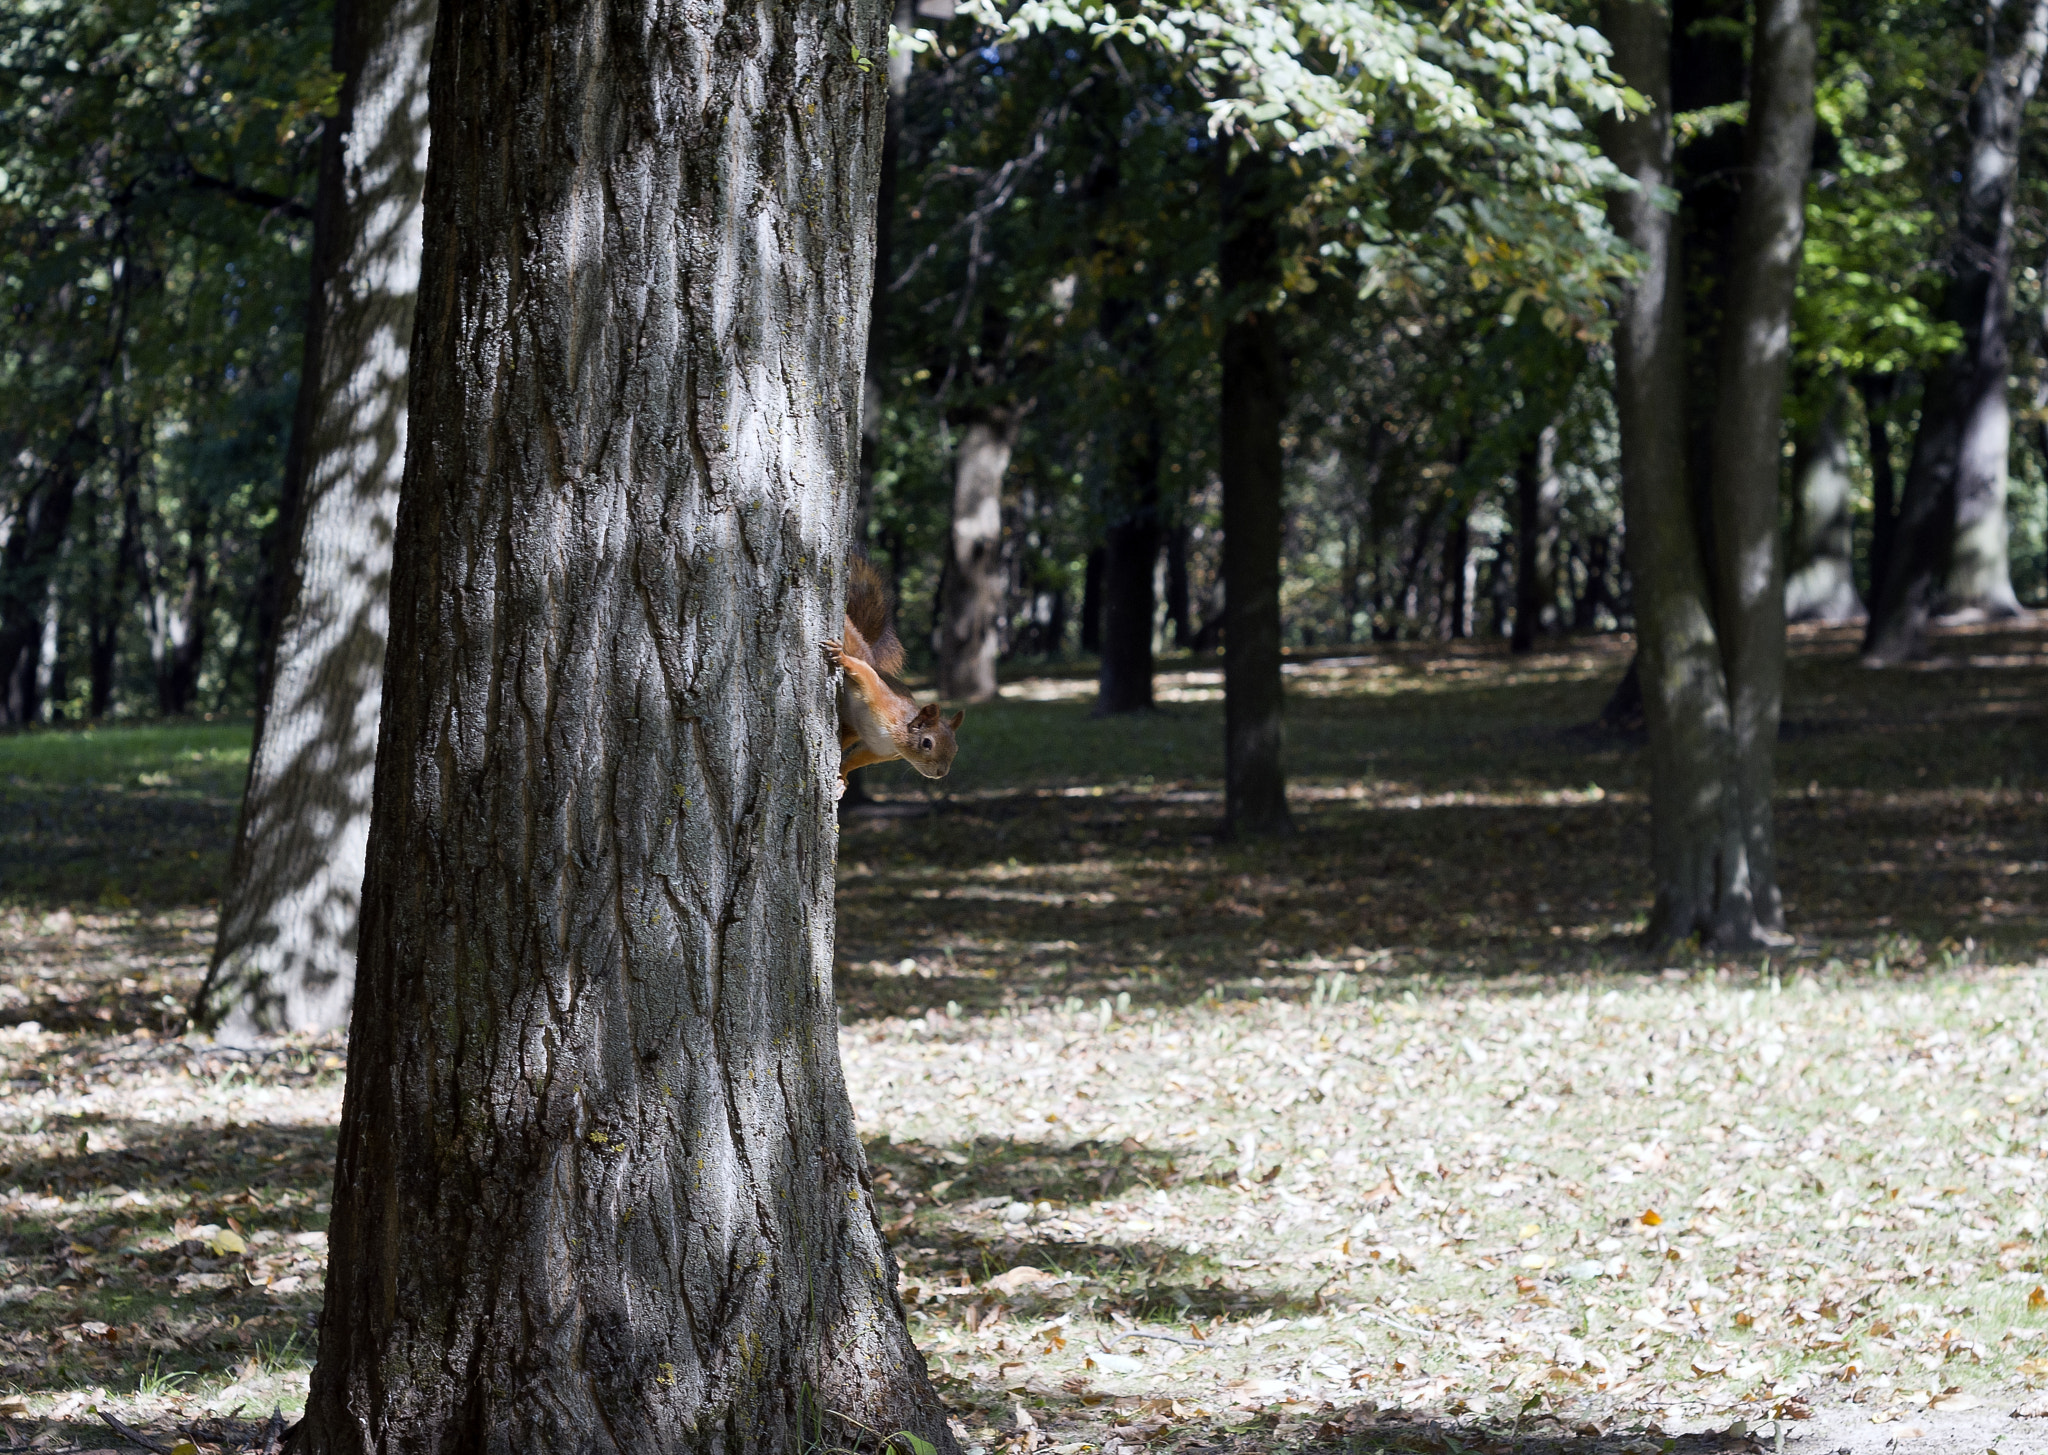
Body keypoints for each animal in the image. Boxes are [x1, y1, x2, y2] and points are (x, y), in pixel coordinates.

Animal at [819, 557, 962, 786]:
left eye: (955, 748)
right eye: (927, 743)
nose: (941, 773)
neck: (893, 738)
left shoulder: (877, 750)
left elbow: (855, 759)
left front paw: (842, 777)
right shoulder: (881, 697)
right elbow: (865, 673)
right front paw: (841, 658)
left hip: (852, 730)